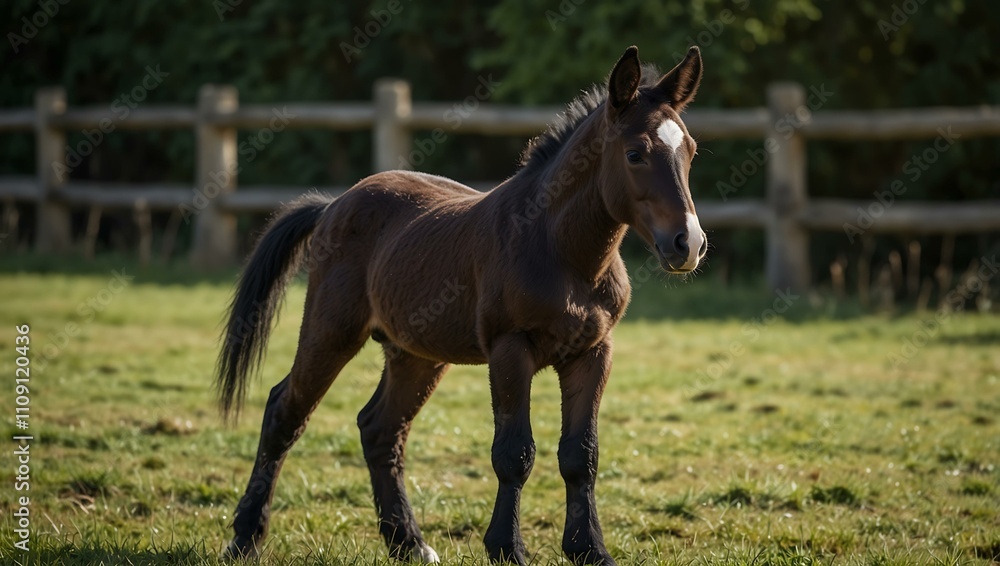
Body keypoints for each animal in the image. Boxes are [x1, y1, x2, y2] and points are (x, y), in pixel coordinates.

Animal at [217, 45, 707, 566]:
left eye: (690, 151)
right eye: (635, 154)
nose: (688, 244)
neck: (562, 252)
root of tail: (333, 205)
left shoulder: (592, 352)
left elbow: (581, 455)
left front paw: (589, 549)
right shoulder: (510, 349)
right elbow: (514, 453)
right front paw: (507, 548)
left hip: (415, 354)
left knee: (380, 429)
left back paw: (410, 544)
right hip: (331, 331)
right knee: (284, 412)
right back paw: (245, 538)